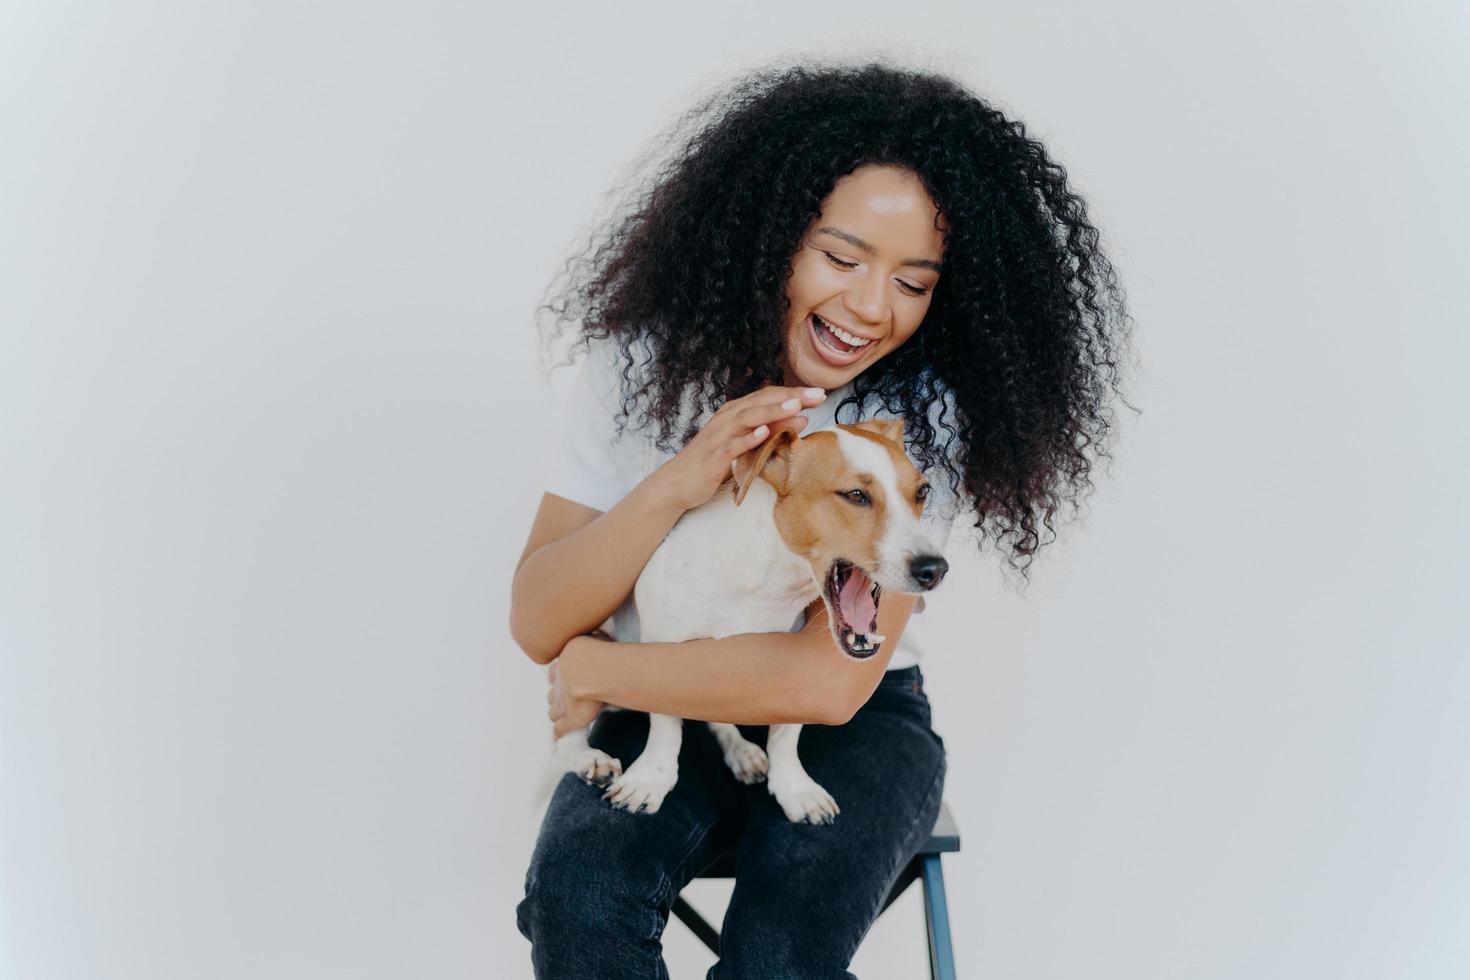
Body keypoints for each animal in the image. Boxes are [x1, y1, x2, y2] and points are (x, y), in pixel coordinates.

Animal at [552, 417, 952, 822]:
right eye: (855, 495)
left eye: (922, 492)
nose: (934, 569)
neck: (767, 582)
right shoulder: (659, 646)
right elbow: (665, 724)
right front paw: (651, 779)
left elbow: (786, 734)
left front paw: (794, 787)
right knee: (563, 732)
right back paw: (587, 759)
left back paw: (741, 752)